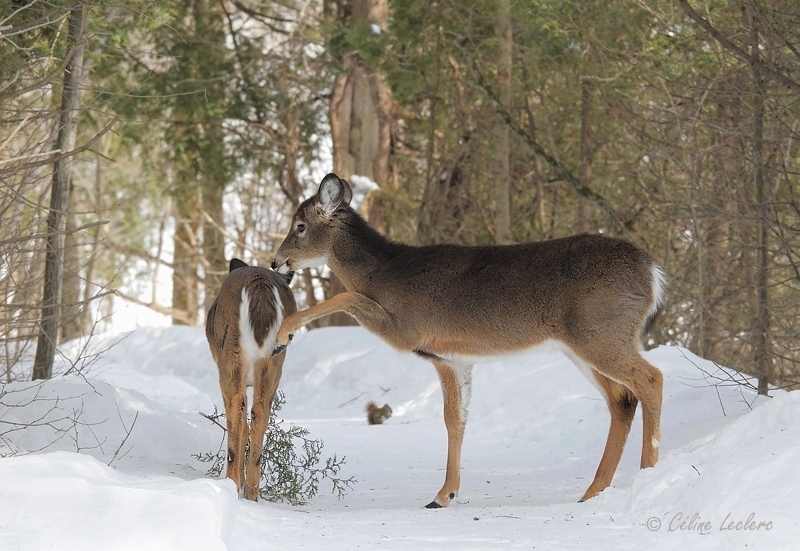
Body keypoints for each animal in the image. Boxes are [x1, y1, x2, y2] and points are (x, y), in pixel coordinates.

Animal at [205, 258, 296, 500]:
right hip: (274, 361)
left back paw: (233, 482)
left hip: (231, 354)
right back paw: (253, 490)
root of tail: (260, 285)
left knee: (237, 410)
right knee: (260, 412)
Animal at [272, 174, 664, 508]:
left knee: (651, 379)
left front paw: (282, 333)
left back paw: (647, 474)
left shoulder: (406, 330)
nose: (276, 261)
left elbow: (346, 297)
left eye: (300, 226)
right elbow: (454, 419)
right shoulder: (450, 358)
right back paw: (593, 491)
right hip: (586, 344)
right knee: (622, 399)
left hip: (600, 332)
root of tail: (653, 273)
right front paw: (444, 494)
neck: (381, 275)